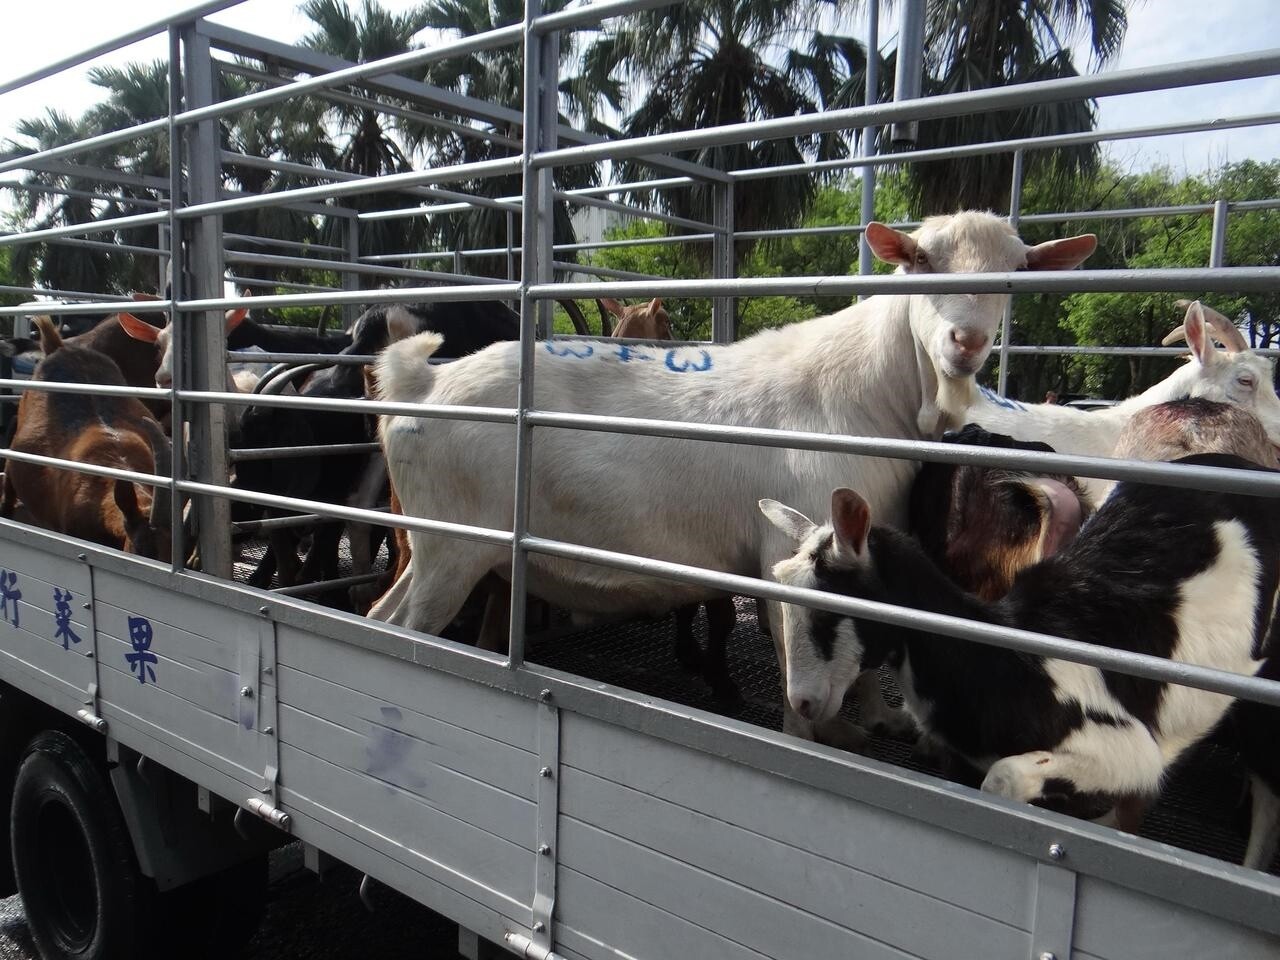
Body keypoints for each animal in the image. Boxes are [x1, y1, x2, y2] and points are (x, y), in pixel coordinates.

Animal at [373, 212, 1095, 742]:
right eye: (918, 261)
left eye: (1014, 277)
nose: (964, 343)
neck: (866, 395)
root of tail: (422, 382)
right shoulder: (789, 550)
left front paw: (878, 718)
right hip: (455, 544)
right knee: (404, 629)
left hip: (434, 543)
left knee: (381, 613)